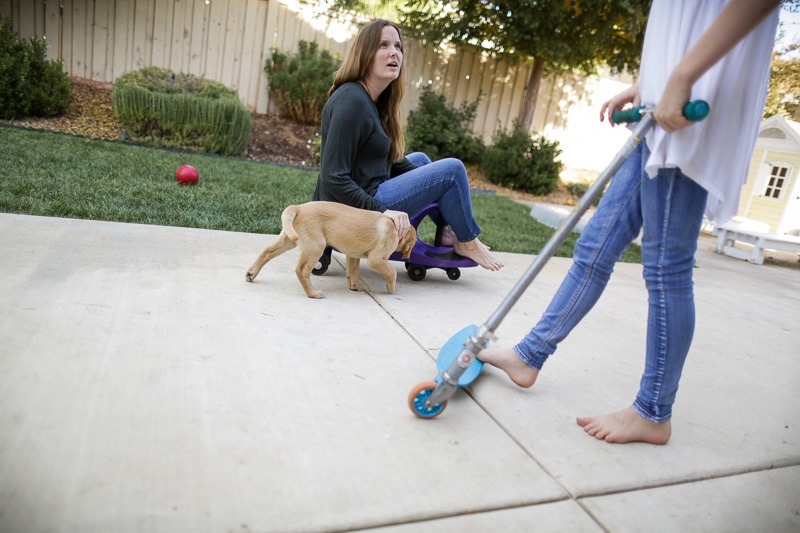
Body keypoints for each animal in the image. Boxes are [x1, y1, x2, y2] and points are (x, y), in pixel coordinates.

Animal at [247, 201, 416, 298]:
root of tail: (299, 207)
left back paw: (251, 273)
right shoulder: (376, 259)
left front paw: (354, 286)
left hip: (290, 239)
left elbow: (353, 271)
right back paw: (313, 293)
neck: (394, 227)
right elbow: (392, 271)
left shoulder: (353, 255)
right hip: (316, 245)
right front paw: (391, 287)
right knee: (302, 270)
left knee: (267, 251)